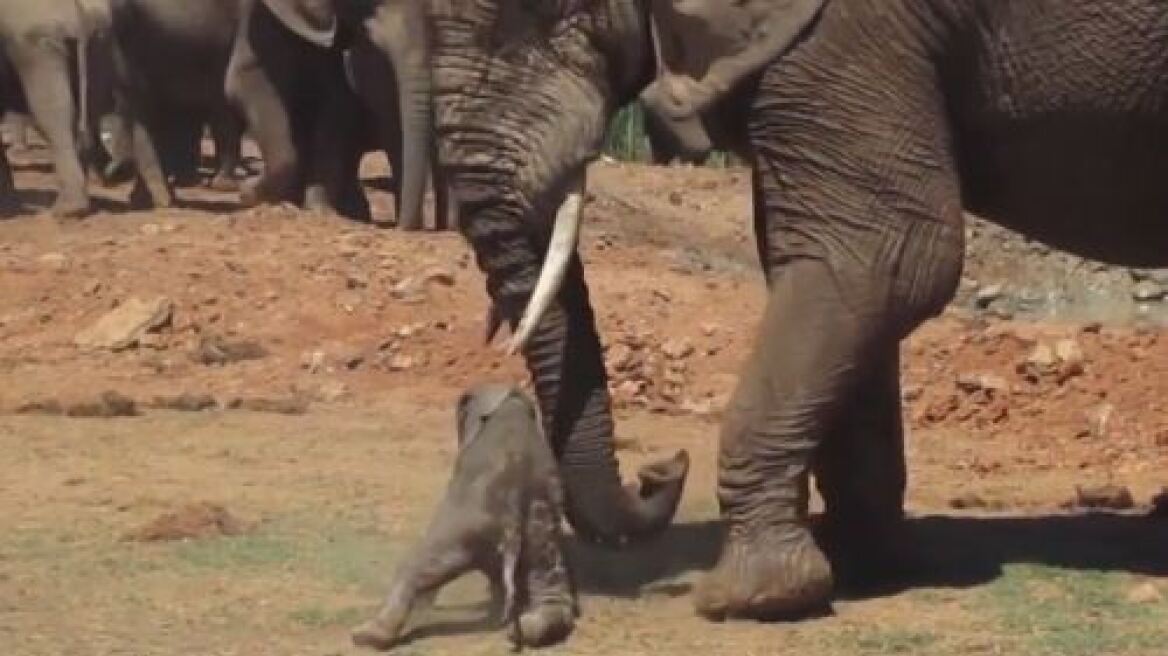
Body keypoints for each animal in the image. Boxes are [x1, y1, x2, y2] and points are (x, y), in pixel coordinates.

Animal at [350, 382, 579, 648]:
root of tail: (512, 504)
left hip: (464, 528)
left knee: (418, 565)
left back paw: (364, 636)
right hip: (539, 524)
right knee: (548, 578)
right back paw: (526, 629)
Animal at [427, 0, 1168, 620]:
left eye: (537, 14)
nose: (662, 468)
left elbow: (887, 257)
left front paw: (748, 597)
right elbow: (830, 265)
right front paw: (863, 567)